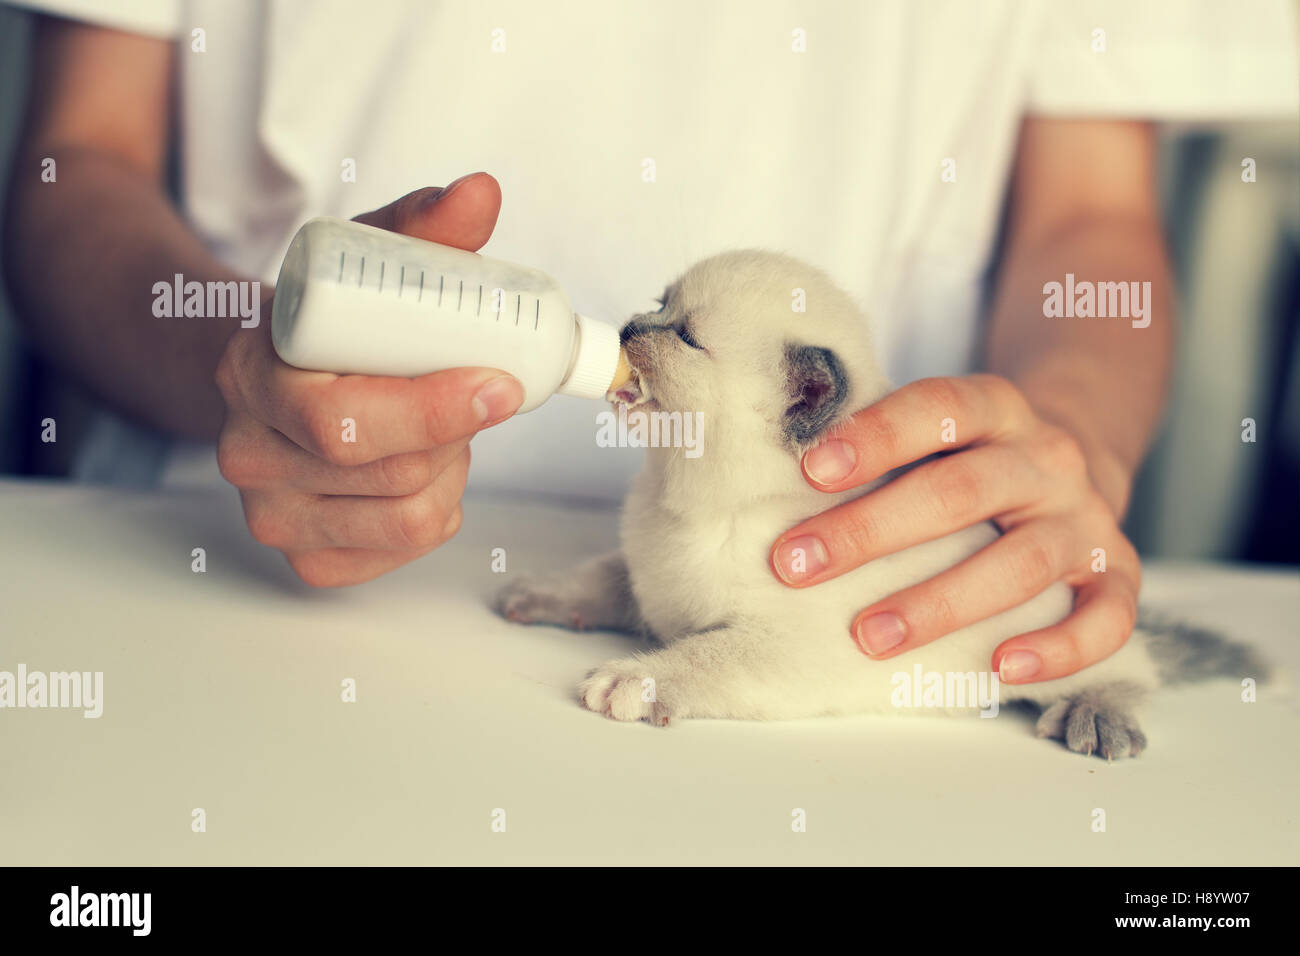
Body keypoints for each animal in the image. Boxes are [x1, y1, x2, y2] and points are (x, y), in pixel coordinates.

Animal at [493, 251, 1258, 759]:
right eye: (659, 304)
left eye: (685, 338)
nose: (626, 328)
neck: (687, 497)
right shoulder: (644, 576)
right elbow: (599, 578)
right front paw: (538, 595)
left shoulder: (789, 651)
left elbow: (699, 657)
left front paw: (630, 678)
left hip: (1053, 639)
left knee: (1135, 668)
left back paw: (1096, 718)